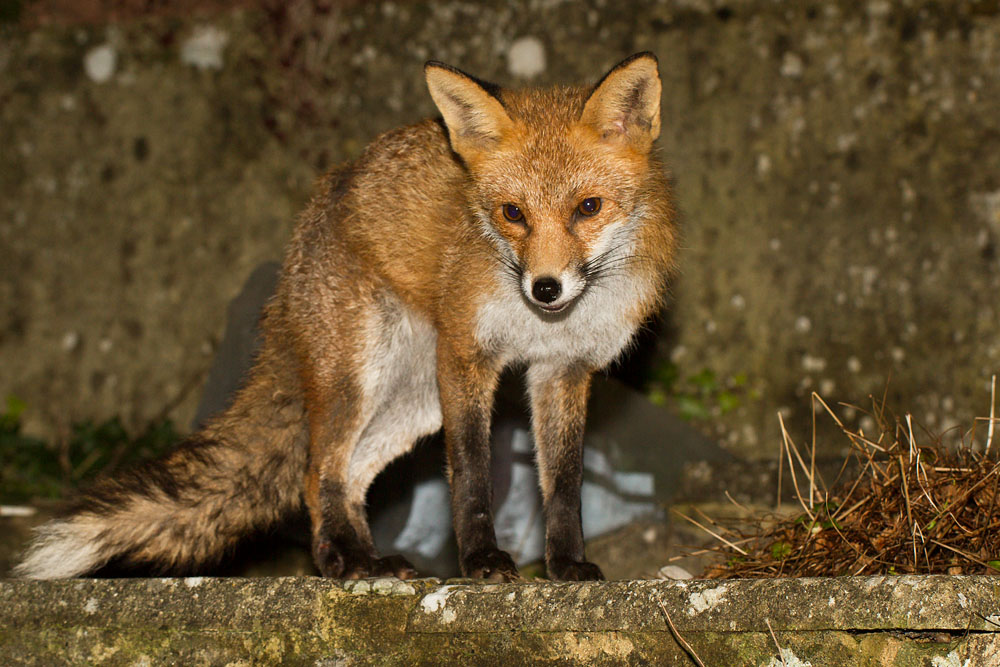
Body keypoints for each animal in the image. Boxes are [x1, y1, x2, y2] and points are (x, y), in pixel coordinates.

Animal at [14, 52, 677, 582]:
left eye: (587, 207)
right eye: (512, 213)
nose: (545, 288)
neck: (541, 324)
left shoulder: (563, 371)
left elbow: (564, 484)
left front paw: (566, 565)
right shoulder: (468, 354)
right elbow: (471, 474)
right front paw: (482, 562)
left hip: (414, 397)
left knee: (351, 475)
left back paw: (367, 558)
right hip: (361, 376)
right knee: (317, 472)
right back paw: (338, 561)